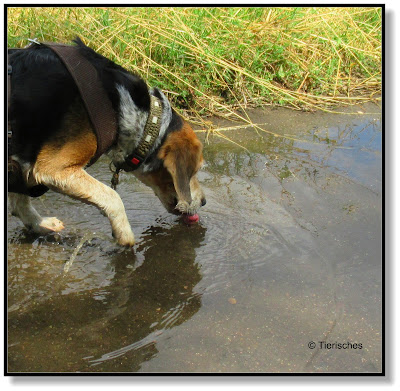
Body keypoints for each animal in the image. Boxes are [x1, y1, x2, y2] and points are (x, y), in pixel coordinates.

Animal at [8, 39, 208, 248]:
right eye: (195, 170)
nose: (204, 202)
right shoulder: (53, 169)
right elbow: (113, 196)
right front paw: (124, 234)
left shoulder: (21, 163)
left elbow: (19, 201)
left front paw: (39, 224)